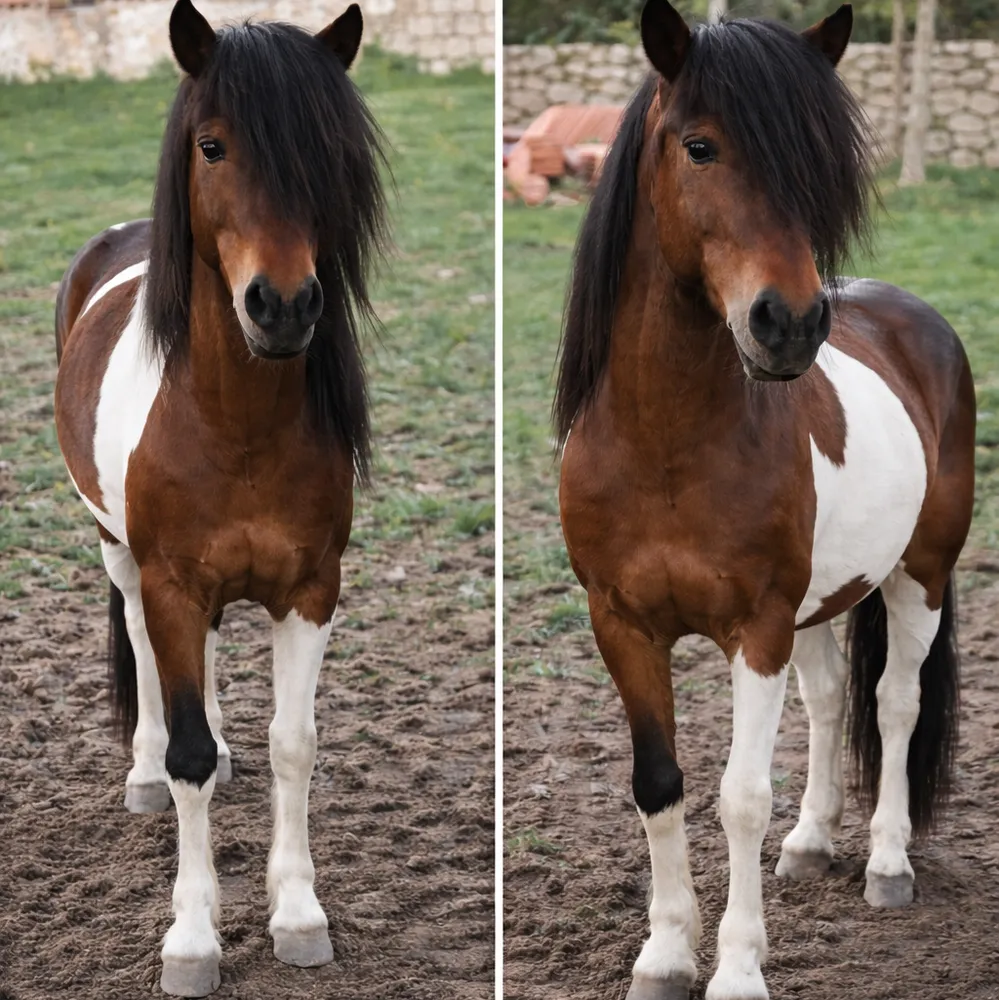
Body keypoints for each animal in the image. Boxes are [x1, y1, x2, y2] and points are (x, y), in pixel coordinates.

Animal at [53, 1, 385, 994]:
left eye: (327, 153)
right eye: (212, 146)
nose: (283, 306)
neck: (230, 423)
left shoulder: (310, 590)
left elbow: (293, 744)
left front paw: (299, 916)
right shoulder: (169, 582)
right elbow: (188, 754)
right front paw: (192, 940)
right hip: (118, 552)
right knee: (140, 648)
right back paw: (141, 776)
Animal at [555, 3, 975, 998]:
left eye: (817, 161)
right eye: (699, 147)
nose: (787, 325)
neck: (667, 446)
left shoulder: (756, 626)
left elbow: (741, 796)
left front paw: (738, 968)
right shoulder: (620, 622)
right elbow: (658, 783)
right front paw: (664, 955)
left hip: (920, 574)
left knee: (893, 703)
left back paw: (885, 864)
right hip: (821, 600)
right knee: (828, 703)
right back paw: (812, 843)